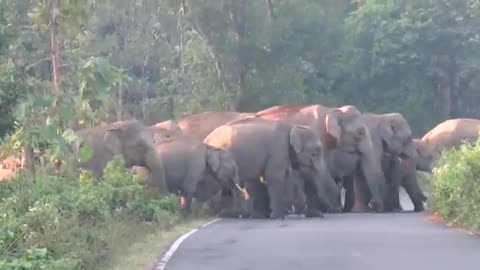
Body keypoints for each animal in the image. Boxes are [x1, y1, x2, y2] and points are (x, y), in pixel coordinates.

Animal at [202, 117, 342, 218]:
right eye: (314, 153)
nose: (337, 209)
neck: (294, 126)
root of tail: (205, 139)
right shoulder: (278, 148)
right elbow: (274, 177)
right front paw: (278, 216)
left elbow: (284, 177)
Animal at [255, 103, 386, 211]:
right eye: (360, 133)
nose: (373, 204)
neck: (332, 110)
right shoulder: (317, 135)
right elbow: (320, 171)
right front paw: (332, 208)